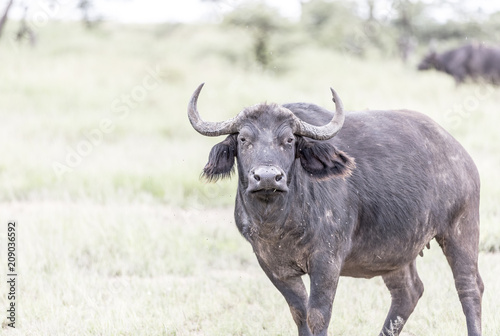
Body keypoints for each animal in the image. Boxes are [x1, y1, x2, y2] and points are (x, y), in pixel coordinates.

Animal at [187, 84, 480, 336]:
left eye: (289, 140)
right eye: (244, 139)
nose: (268, 177)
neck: (280, 221)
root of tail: (460, 155)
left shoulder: (327, 260)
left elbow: (318, 315)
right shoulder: (271, 264)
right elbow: (299, 312)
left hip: (461, 229)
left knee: (469, 287)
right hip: (395, 252)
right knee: (408, 293)